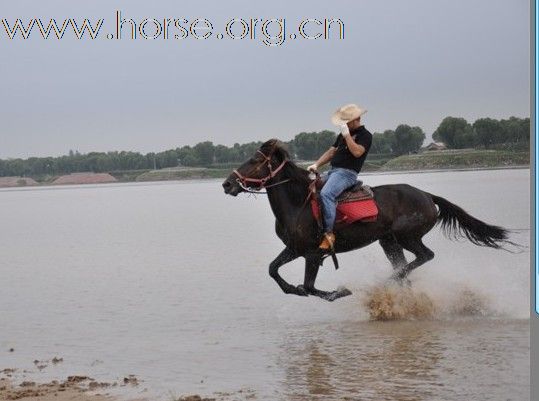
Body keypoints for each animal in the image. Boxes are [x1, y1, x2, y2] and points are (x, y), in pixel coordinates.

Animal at [221, 140, 512, 300]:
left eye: (254, 160)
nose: (227, 184)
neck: (298, 203)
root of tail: (428, 196)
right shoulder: (295, 249)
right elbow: (273, 270)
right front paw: (293, 289)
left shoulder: (312, 254)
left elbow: (311, 286)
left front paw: (340, 292)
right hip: (389, 242)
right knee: (407, 267)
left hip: (407, 236)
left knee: (424, 256)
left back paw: (385, 281)